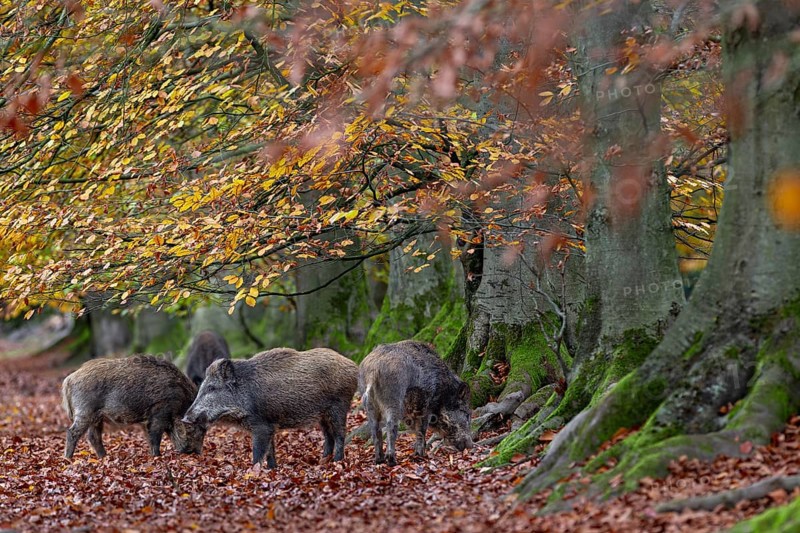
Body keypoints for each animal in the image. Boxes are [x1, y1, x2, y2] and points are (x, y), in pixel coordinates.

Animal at [61, 355, 206, 459]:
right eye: (199, 428)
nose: (196, 453)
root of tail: (69, 379)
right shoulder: (160, 411)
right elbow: (155, 435)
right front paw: (157, 457)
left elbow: (150, 436)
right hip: (85, 412)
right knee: (72, 432)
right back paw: (68, 459)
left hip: (96, 417)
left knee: (93, 437)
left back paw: (104, 458)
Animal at [182, 347, 358, 468]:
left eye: (212, 388)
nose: (185, 418)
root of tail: (354, 366)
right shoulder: (270, 425)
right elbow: (270, 451)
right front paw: (272, 469)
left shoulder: (261, 426)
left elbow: (258, 451)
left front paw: (253, 472)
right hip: (322, 415)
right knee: (329, 436)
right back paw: (322, 461)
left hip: (339, 406)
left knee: (340, 434)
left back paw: (337, 461)